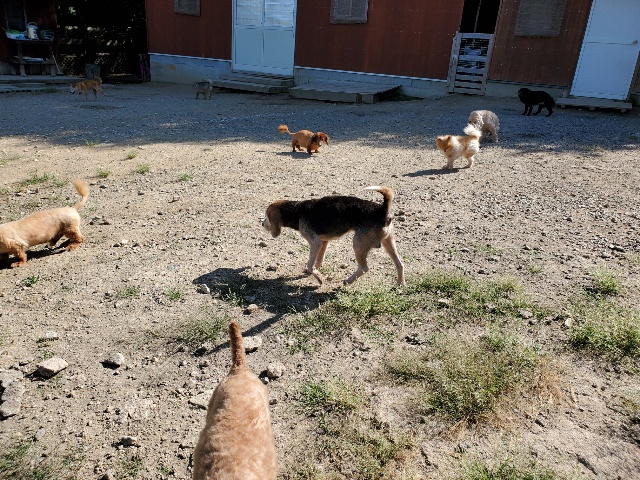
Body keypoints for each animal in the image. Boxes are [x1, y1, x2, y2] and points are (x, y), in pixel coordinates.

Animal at [262, 186, 405, 286]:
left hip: (358, 244)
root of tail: (382, 210)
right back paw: (400, 284)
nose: (262, 224)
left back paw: (348, 281)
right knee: (400, 263)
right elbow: (317, 261)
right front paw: (315, 271)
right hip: (388, 242)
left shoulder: (315, 242)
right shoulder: (323, 242)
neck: (296, 211)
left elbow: (310, 263)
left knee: (364, 268)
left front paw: (318, 278)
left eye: (267, 215)